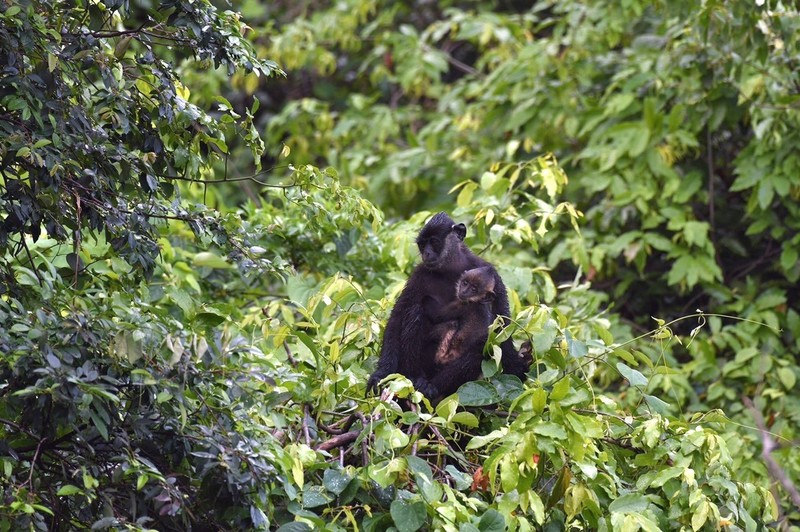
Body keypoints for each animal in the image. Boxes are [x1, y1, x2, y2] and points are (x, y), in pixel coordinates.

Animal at [366, 212, 528, 400]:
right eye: (422, 244)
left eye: (434, 242)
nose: (426, 253)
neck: (451, 269)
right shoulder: (419, 274)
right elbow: (398, 316)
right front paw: (380, 374)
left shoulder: (492, 275)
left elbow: (502, 325)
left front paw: (518, 368)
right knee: (415, 311)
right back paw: (415, 378)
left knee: (482, 347)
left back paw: (431, 387)